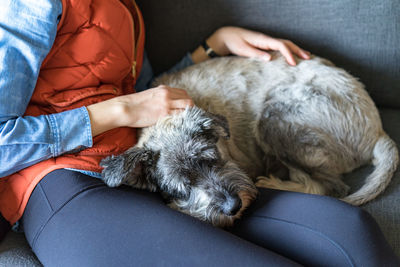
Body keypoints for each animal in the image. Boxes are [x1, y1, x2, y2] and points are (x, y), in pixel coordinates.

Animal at [99, 52, 396, 228]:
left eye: (212, 158)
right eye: (183, 187)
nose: (234, 206)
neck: (162, 120)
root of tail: (378, 130)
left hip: (276, 116)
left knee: (327, 186)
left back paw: (274, 182)